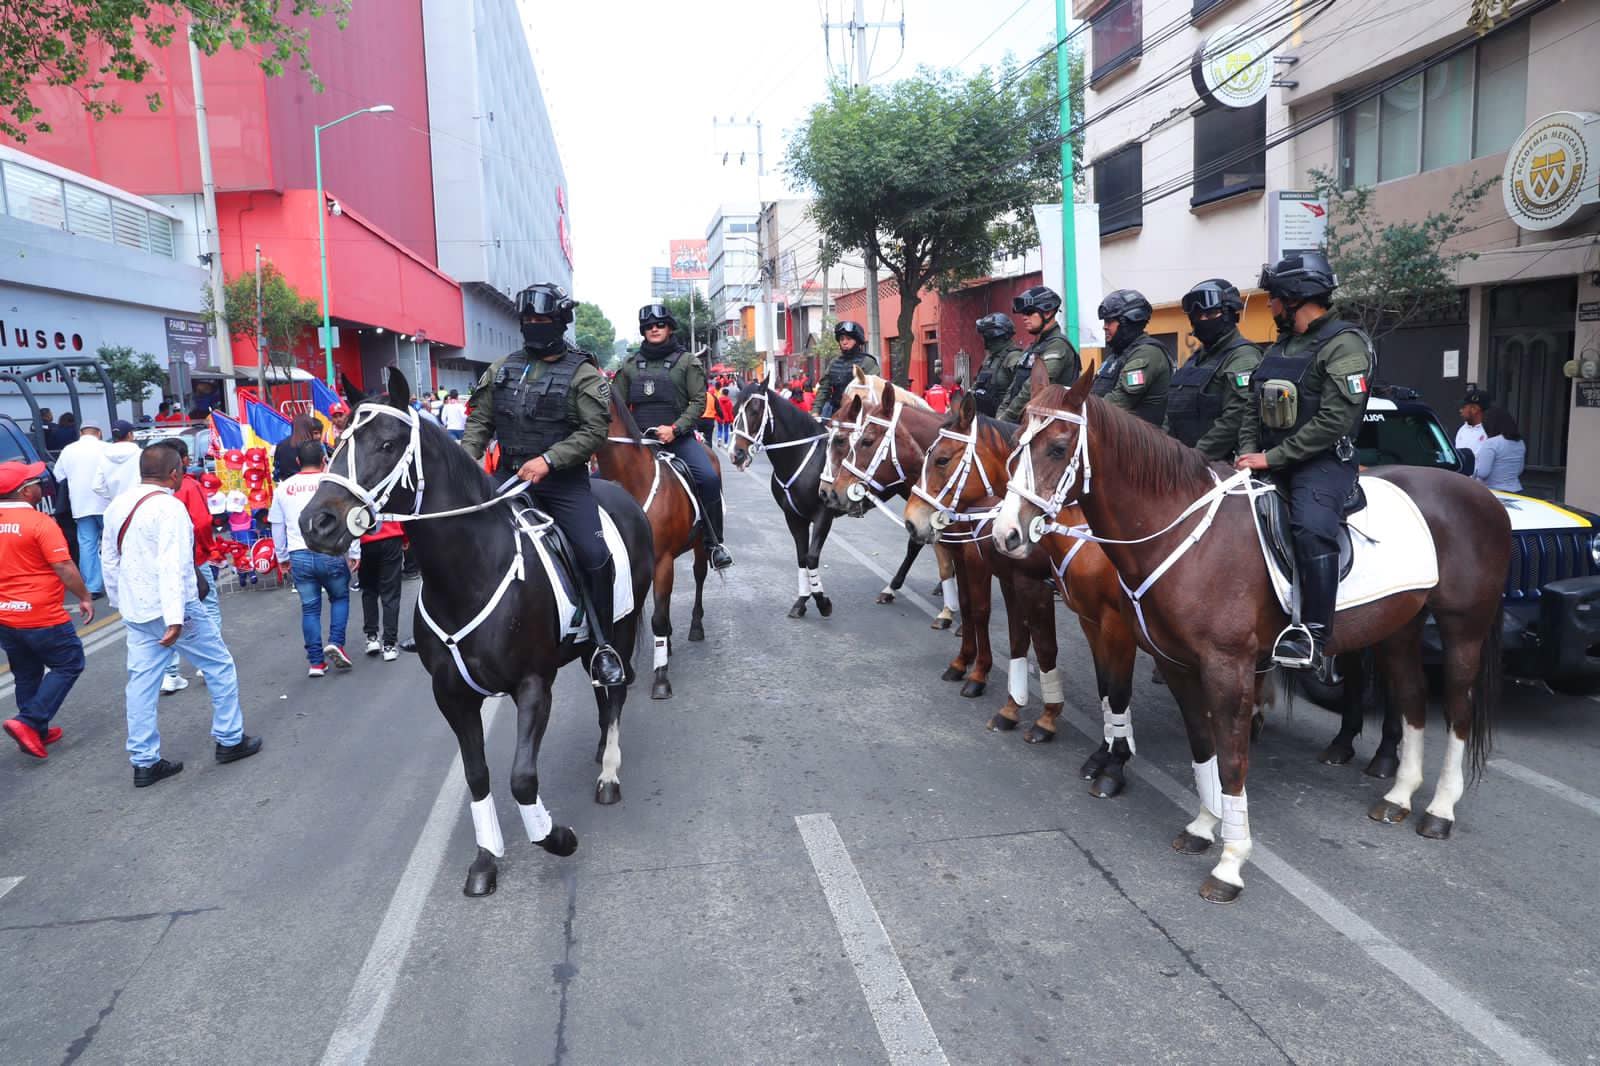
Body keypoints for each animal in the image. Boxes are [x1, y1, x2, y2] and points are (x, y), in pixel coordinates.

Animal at [300, 369, 649, 889]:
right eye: (338, 442)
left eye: (386, 444)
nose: (315, 522)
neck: (470, 571)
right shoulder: (452, 694)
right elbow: (477, 775)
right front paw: (486, 858)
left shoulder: (532, 685)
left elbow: (522, 779)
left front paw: (557, 837)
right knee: (602, 695)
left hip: (621, 630)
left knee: (616, 690)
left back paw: (608, 773)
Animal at [601, 390, 720, 697]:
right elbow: (634, 612)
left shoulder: (662, 560)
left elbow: (655, 617)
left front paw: (661, 677)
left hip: (699, 545)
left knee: (699, 576)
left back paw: (695, 626)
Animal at [908, 385, 1145, 793]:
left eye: (941, 459)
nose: (911, 522)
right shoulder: (1008, 577)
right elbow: (1016, 638)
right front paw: (1008, 703)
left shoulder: (1035, 587)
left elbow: (1042, 645)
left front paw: (1046, 717)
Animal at [992, 361, 1504, 902]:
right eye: (1016, 443)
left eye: (1057, 446)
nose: (1006, 534)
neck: (1183, 533)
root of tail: (1483, 495)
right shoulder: (1177, 664)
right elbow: (1203, 748)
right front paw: (1203, 826)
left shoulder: (1227, 668)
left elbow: (1232, 761)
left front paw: (1231, 862)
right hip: (1400, 629)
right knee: (1410, 699)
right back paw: (1400, 795)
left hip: (1463, 629)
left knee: (1458, 710)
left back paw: (1439, 809)